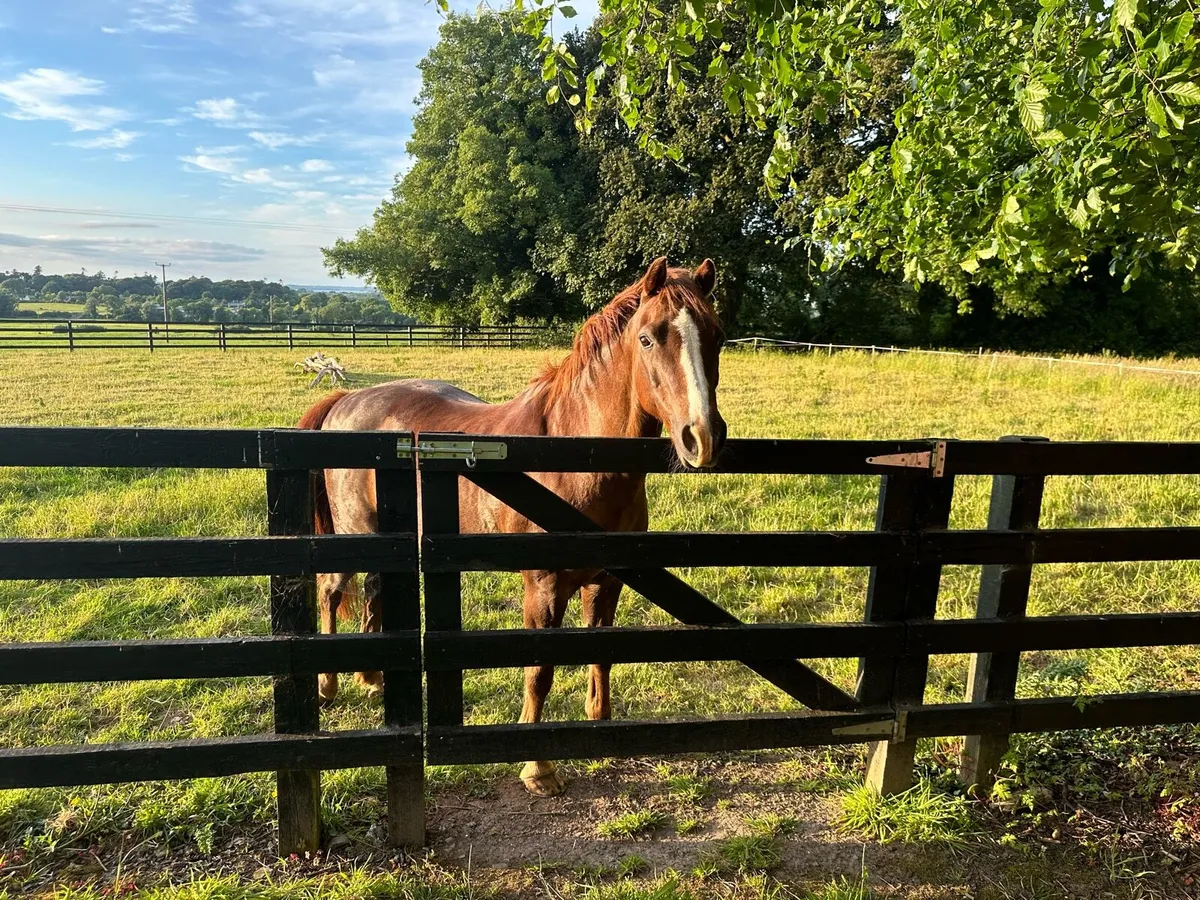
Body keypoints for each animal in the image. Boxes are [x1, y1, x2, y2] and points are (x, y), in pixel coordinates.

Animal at [296, 256, 727, 796]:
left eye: (717, 336)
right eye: (648, 338)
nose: (703, 438)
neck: (574, 460)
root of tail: (347, 399)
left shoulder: (607, 582)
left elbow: (602, 654)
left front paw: (601, 729)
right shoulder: (542, 588)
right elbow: (539, 670)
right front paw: (537, 768)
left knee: (375, 593)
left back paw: (372, 678)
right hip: (354, 534)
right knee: (333, 592)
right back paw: (328, 686)